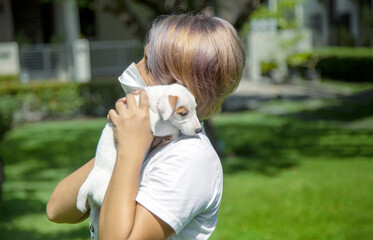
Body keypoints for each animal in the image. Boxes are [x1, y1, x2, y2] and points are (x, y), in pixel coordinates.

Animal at [76, 84, 202, 216]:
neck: (154, 100)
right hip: (104, 195)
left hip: (94, 207)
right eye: (183, 113)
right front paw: (171, 137)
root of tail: (88, 184)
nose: (199, 130)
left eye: (195, 109)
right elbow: (172, 128)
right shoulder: (154, 124)